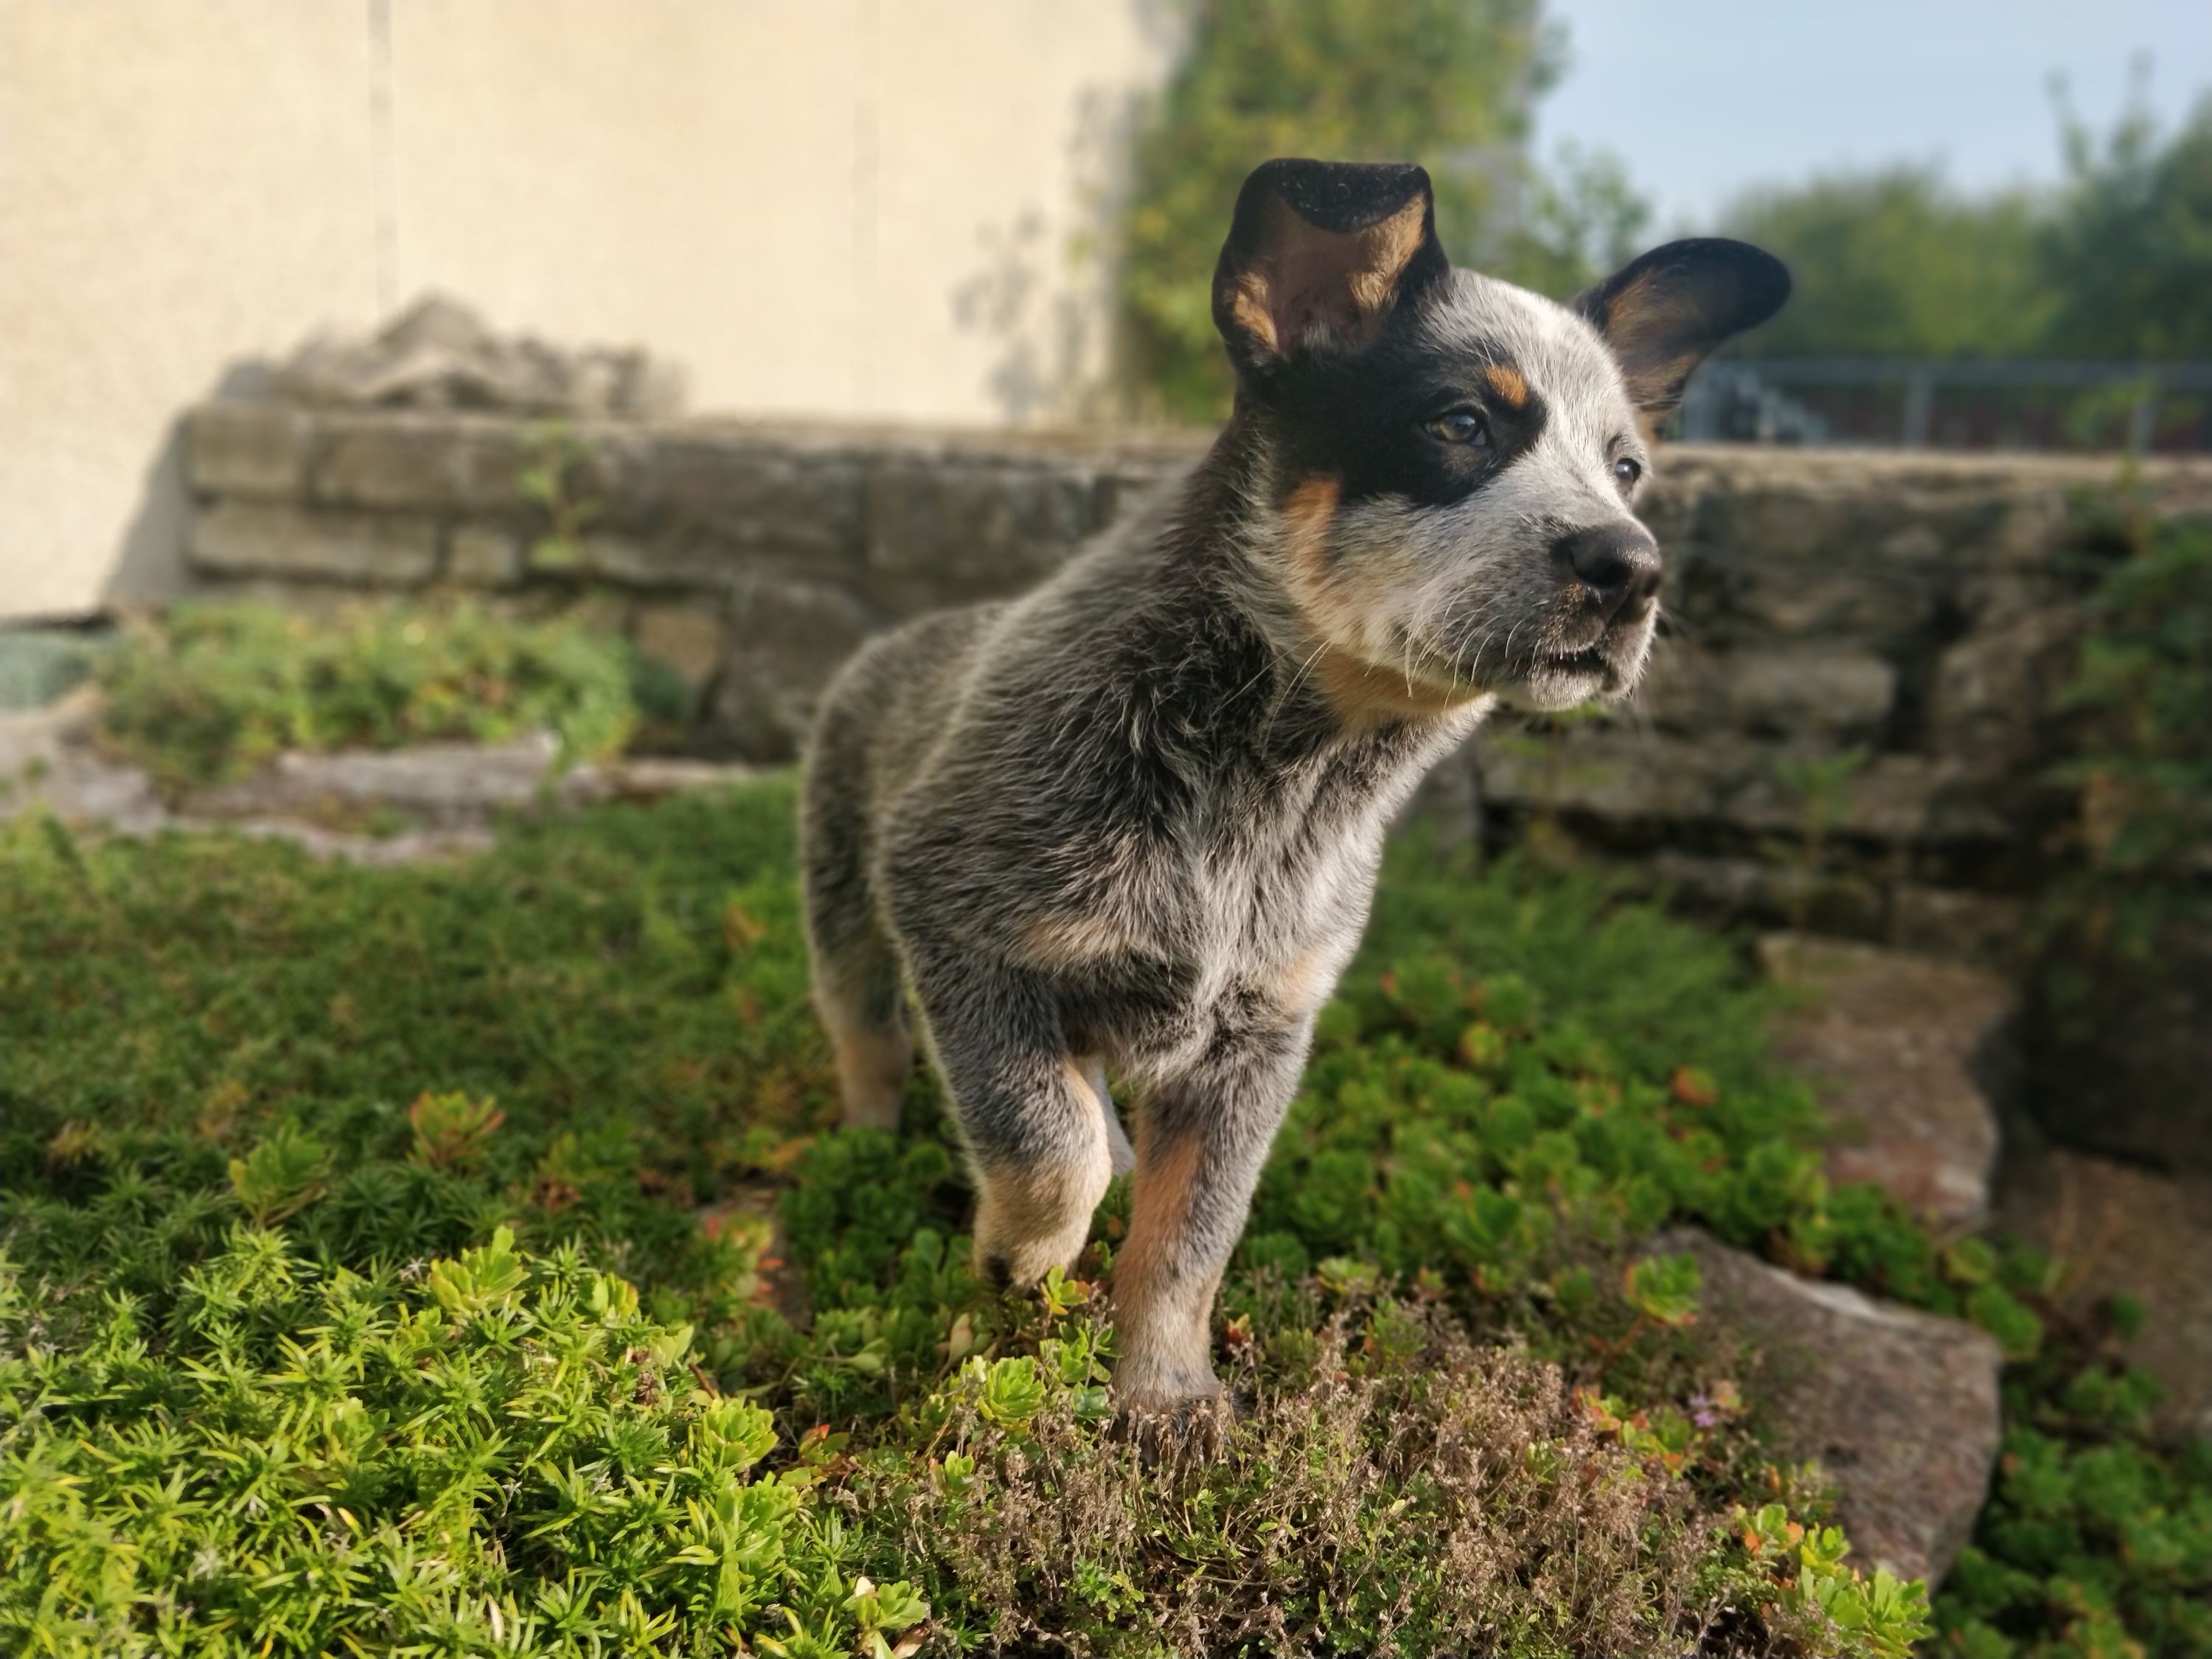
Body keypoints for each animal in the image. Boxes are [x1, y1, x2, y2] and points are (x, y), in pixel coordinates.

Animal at [805, 162, 1787, 1425]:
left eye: (1626, 468)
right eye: (1460, 423)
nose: (1635, 570)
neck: (1272, 786)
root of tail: (897, 639)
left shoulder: (1262, 1033)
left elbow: (1188, 1241)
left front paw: (1167, 1399)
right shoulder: (961, 926)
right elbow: (1044, 1141)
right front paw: (1022, 1254)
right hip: (848, 907)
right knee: (869, 1036)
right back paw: (868, 1144)